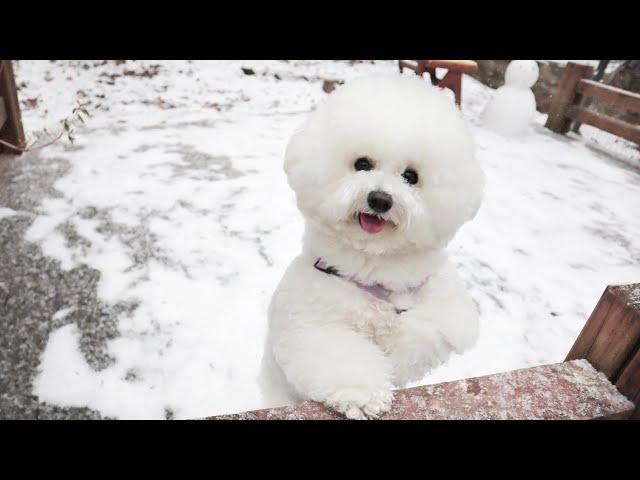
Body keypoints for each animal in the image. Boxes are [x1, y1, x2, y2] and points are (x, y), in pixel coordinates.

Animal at [260, 75, 484, 420]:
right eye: (362, 163)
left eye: (411, 176)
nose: (380, 199)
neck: (375, 263)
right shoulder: (312, 323)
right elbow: (341, 354)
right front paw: (363, 394)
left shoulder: (448, 311)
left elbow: (421, 335)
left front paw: (393, 361)